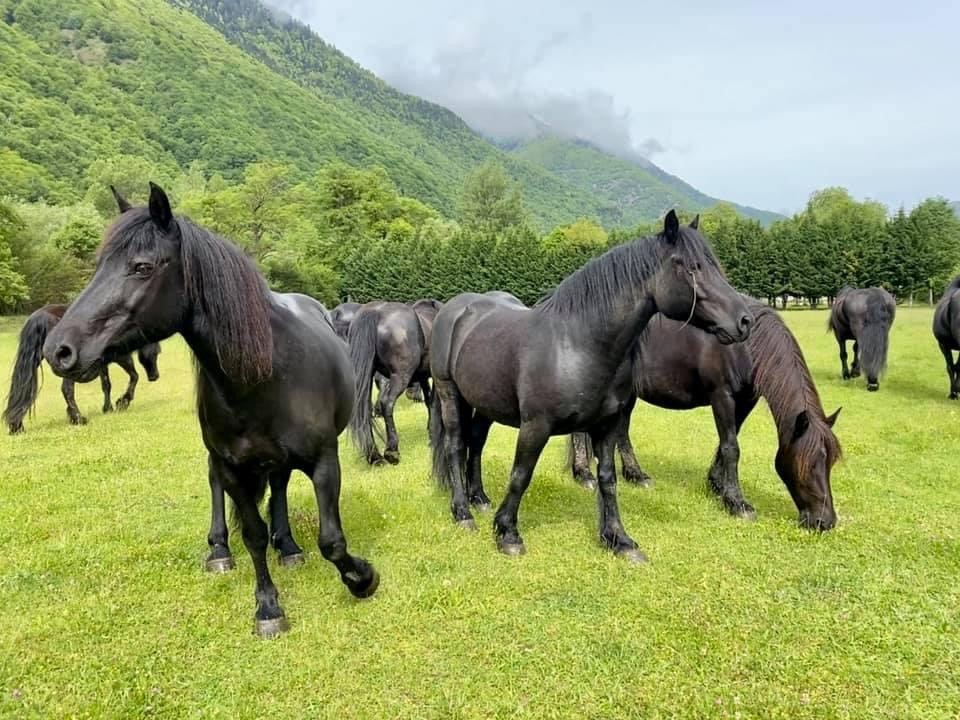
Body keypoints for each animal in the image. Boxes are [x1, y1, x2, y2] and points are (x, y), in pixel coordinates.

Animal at [2, 304, 160, 434]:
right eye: (157, 352)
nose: (155, 376)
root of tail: (41, 317)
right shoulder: (121, 357)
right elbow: (134, 376)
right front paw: (123, 402)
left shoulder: (102, 364)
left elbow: (106, 385)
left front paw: (108, 408)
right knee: (66, 389)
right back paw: (78, 418)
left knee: (22, 388)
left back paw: (17, 426)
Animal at [42, 184, 378, 636]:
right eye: (98, 266)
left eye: (142, 267)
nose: (58, 350)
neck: (268, 374)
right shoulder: (233, 467)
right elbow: (253, 535)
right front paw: (268, 606)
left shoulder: (325, 460)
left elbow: (331, 540)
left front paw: (362, 578)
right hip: (219, 458)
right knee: (216, 482)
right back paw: (219, 549)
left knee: (279, 485)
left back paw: (288, 545)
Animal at [348, 300, 432, 464]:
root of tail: (376, 311)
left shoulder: (424, 376)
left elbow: (429, 401)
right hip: (400, 376)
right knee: (387, 403)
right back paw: (392, 451)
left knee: (365, 410)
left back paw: (374, 456)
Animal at [426, 214, 752, 564]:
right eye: (692, 267)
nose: (744, 321)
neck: (578, 345)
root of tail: (455, 308)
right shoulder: (535, 426)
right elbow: (520, 475)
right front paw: (507, 534)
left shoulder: (606, 426)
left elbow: (608, 479)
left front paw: (619, 539)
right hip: (449, 394)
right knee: (456, 446)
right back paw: (463, 512)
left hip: (485, 403)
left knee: (475, 443)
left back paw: (480, 499)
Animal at [568, 296, 840, 528]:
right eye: (811, 463)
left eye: (831, 463)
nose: (825, 521)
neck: (746, 347)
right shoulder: (722, 396)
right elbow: (731, 447)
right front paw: (737, 503)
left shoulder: (745, 400)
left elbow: (727, 442)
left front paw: (717, 485)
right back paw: (583, 474)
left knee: (622, 430)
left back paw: (636, 475)